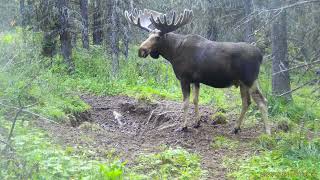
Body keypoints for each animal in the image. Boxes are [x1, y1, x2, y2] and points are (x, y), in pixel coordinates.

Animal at [125, 8, 270, 135]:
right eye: (148, 35)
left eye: (157, 37)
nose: (141, 50)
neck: (173, 53)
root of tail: (260, 56)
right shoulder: (196, 80)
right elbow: (196, 100)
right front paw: (197, 122)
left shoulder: (184, 78)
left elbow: (185, 103)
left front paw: (183, 126)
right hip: (242, 83)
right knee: (247, 102)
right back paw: (236, 128)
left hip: (250, 79)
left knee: (262, 101)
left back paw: (267, 132)